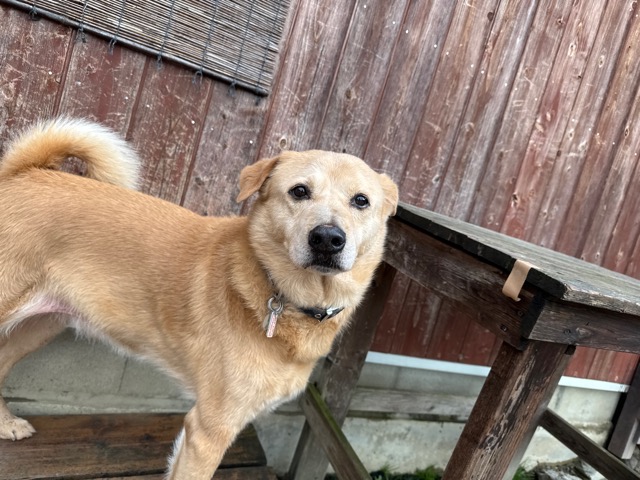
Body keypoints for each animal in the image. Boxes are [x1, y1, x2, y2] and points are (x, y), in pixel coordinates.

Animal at [0, 118, 398, 479]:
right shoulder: (210, 430)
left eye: (361, 201)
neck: (284, 295)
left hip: (42, 324)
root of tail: (19, 174)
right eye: (299, 191)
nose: (328, 238)